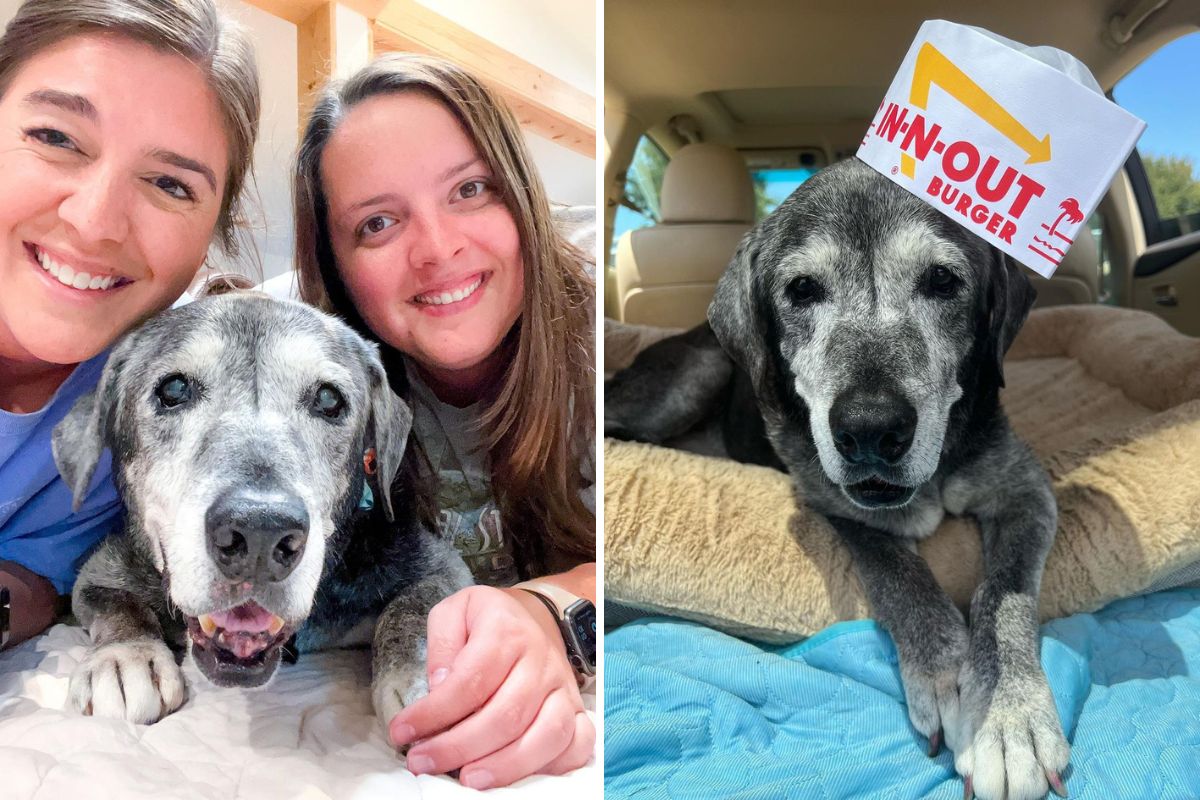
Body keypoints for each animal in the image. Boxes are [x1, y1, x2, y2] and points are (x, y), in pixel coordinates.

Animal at [51, 296, 472, 734]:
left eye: (329, 400)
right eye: (173, 389)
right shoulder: (98, 573)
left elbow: (415, 606)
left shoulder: (439, 565)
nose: (260, 533)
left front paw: (418, 678)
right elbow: (117, 604)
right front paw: (123, 656)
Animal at [609, 155, 1070, 800]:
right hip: (694, 376)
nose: (870, 429)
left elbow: (1004, 594)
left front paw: (1007, 715)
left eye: (942, 281)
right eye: (802, 289)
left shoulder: (1025, 493)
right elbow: (897, 569)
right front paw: (944, 671)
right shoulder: (838, 503)